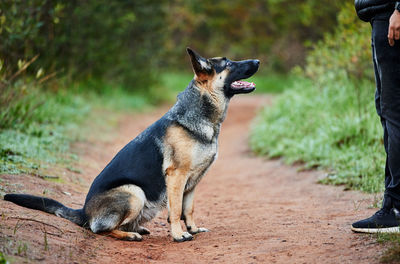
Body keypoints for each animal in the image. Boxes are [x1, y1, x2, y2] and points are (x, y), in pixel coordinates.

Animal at [4, 48, 260, 242]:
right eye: (229, 63)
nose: (258, 61)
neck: (201, 115)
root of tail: (84, 213)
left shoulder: (193, 182)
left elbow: (188, 209)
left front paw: (193, 229)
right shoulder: (177, 176)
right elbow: (176, 210)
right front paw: (179, 235)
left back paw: (136, 229)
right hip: (134, 192)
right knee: (100, 229)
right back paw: (129, 235)